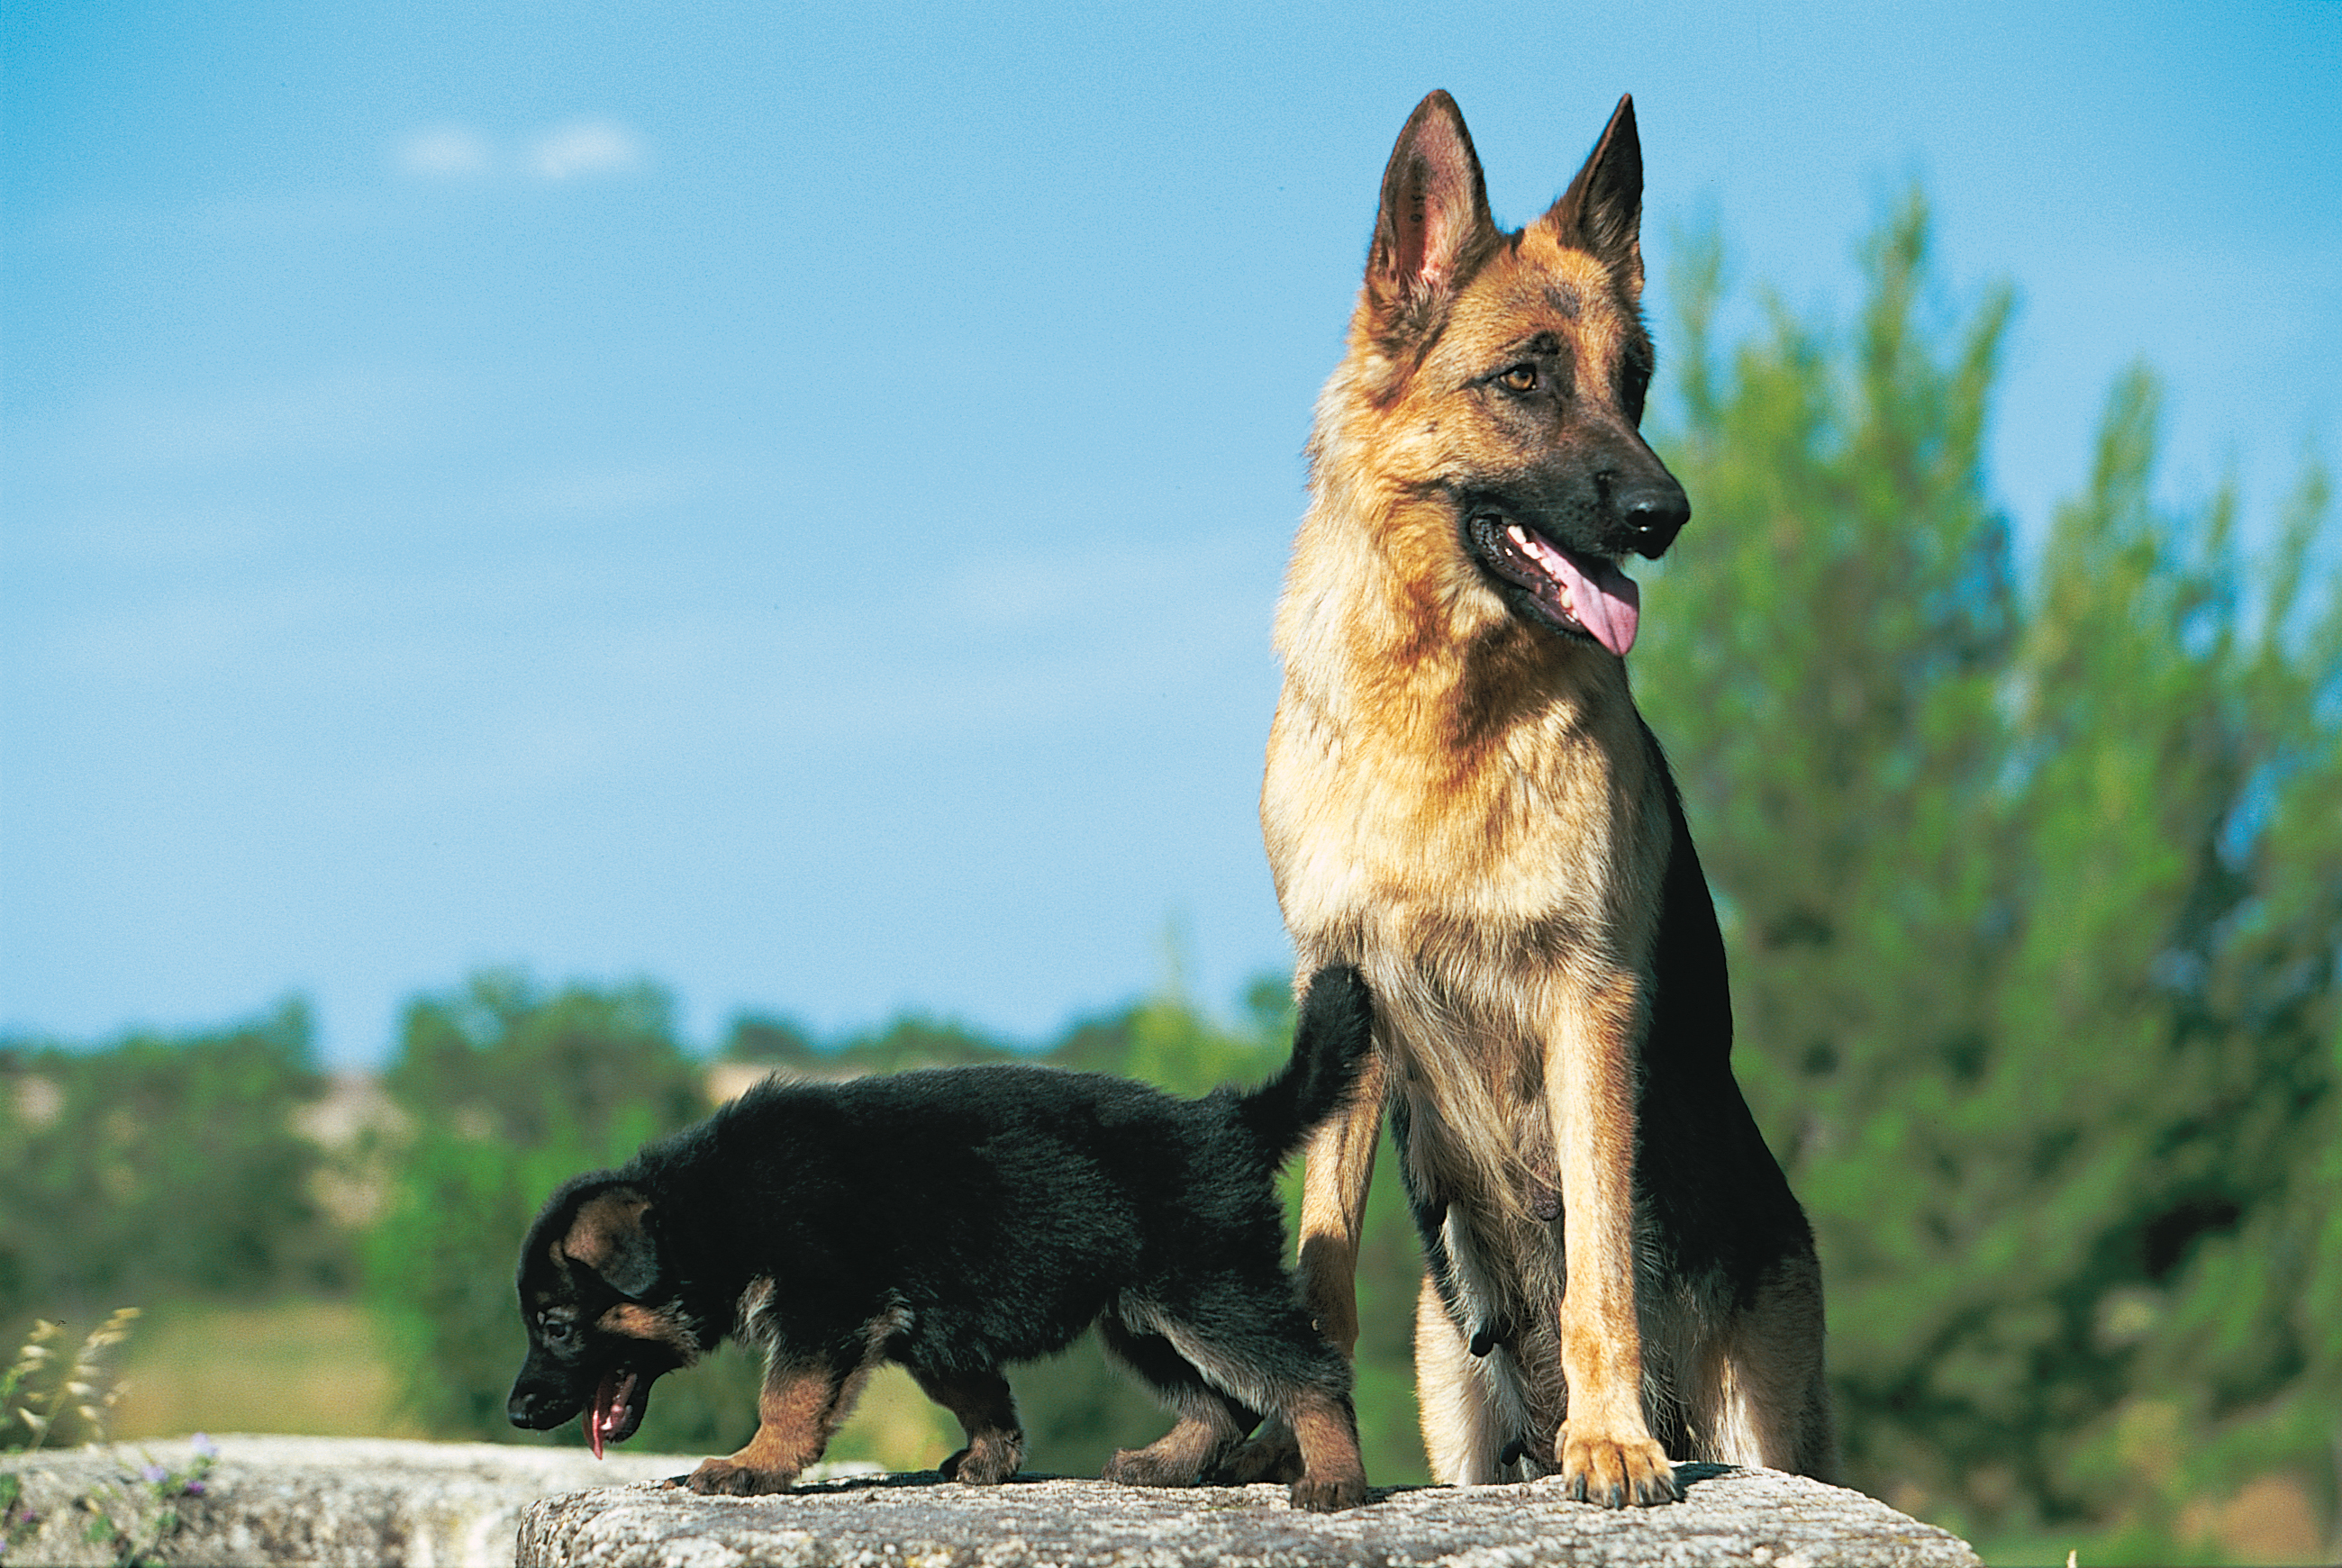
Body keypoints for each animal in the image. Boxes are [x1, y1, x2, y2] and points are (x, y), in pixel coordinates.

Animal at [496, 964, 1367, 1516]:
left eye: (555, 1325)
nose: (516, 1411)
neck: (714, 1211)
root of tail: (1232, 1119)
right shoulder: (926, 1328)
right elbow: (976, 1395)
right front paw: (992, 1459)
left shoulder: (824, 1312)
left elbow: (787, 1397)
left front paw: (754, 1465)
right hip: (1139, 1317)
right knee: (1224, 1402)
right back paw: (1166, 1463)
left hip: (1207, 1293)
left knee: (1310, 1373)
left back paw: (1335, 1479)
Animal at [1255, 88, 1836, 1507]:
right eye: (1523, 377)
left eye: (1634, 385)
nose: (1664, 514)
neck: (1438, 715)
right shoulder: (1341, 993)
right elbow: (1323, 1256)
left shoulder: (1589, 1000)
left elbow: (1599, 1267)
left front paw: (1610, 1436)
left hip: (1769, 1413)